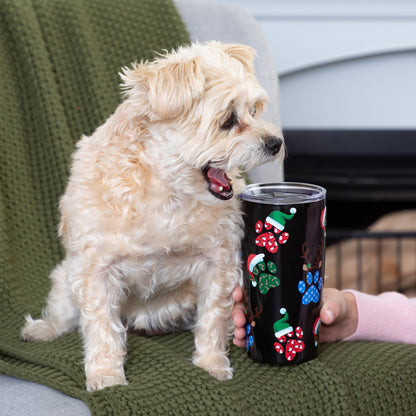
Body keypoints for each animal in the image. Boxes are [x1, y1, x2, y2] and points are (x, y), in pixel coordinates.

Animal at [21, 43, 284, 394]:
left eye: (255, 110)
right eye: (228, 120)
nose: (276, 143)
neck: (167, 192)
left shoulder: (219, 263)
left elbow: (213, 318)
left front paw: (211, 365)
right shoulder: (94, 270)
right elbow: (101, 326)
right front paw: (106, 376)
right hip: (66, 275)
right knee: (63, 312)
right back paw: (43, 329)